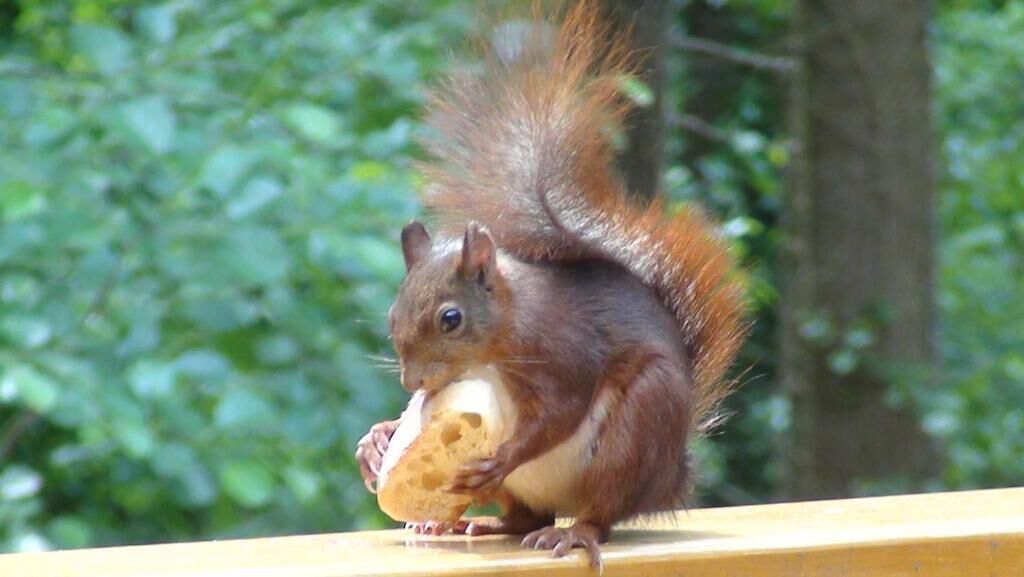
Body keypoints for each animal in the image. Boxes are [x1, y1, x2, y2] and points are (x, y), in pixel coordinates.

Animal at [355, 0, 747, 569]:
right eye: (392, 315)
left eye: (451, 319)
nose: (413, 382)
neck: (503, 329)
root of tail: (671, 478)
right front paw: (377, 441)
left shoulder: (563, 350)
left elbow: (562, 411)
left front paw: (502, 457)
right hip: (539, 491)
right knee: (524, 518)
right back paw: (477, 523)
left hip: (640, 425)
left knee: (602, 512)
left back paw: (573, 533)